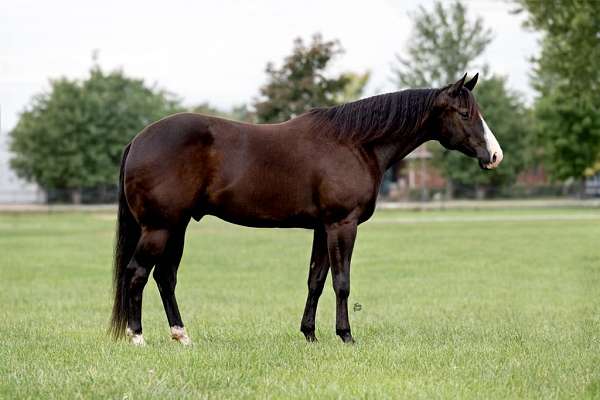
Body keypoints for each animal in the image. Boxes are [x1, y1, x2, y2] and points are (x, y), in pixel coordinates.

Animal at [109, 73, 502, 346]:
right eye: (465, 113)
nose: (495, 155)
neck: (354, 143)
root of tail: (138, 140)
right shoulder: (343, 224)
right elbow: (342, 282)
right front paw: (346, 335)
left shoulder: (322, 227)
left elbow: (316, 280)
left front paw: (310, 334)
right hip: (160, 228)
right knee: (137, 273)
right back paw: (138, 337)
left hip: (176, 227)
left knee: (164, 277)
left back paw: (182, 336)